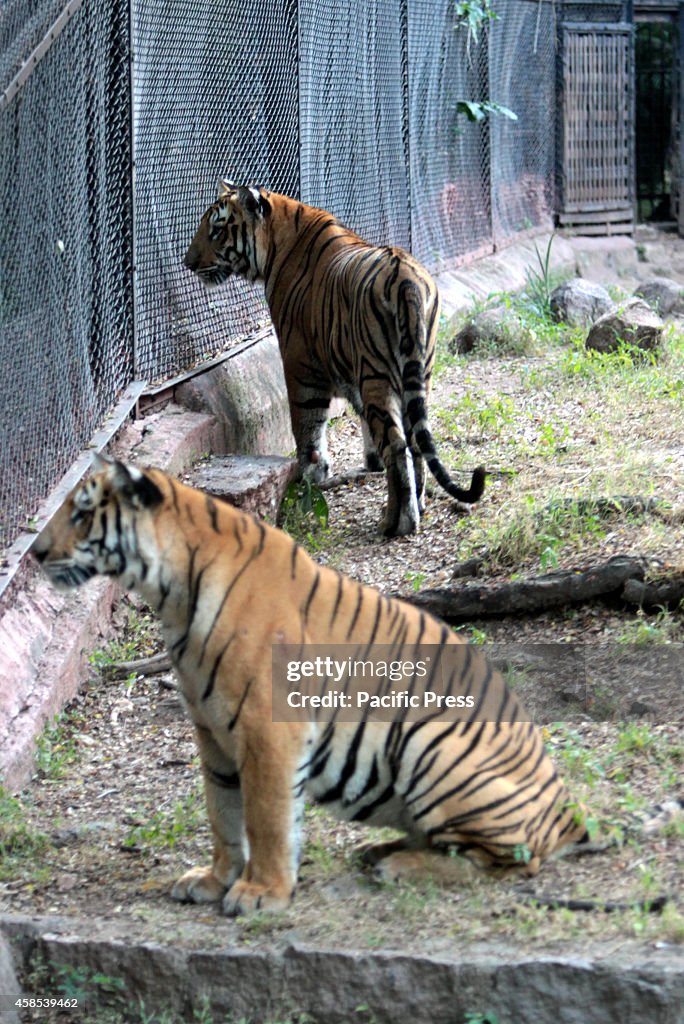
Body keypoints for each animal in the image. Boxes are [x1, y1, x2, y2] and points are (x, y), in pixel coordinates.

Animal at [33, 460, 589, 917]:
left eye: (83, 513)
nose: (36, 552)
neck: (171, 594)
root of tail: (566, 812)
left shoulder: (267, 729)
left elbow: (266, 816)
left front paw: (262, 893)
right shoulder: (210, 733)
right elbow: (222, 814)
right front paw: (215, 880)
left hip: (433, 747)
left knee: (514, 860)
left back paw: (397, 866)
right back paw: (380, 851)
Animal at [184, 181, 483, 540]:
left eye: (216, 229)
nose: (187, 263)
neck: (276, 242)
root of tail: (405, 277)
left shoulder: (299, 363)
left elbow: (307, 427)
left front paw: (310, 477)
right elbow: (363, 422)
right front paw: (368, 463)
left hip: (376, 375)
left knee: (397, 445)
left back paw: (397, 522)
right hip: (418, 371)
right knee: (414, 440)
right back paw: (418, 504)